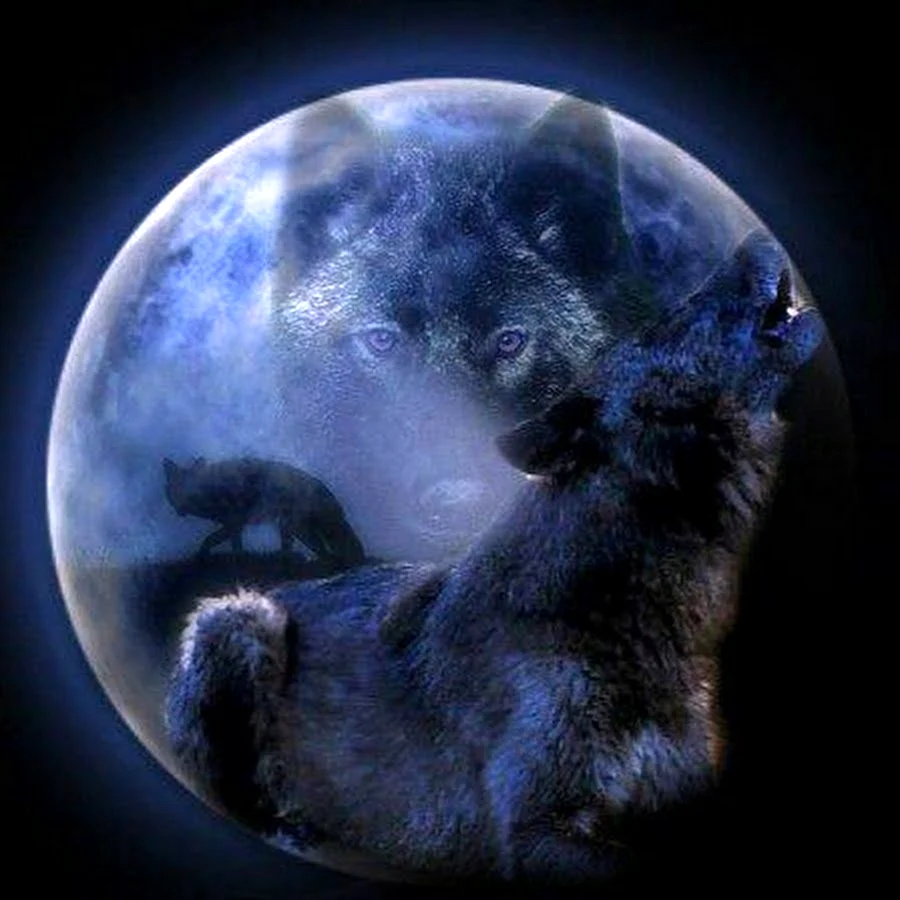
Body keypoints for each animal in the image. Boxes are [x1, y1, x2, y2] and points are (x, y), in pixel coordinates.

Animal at [162, 456, 365, 565]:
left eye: (189, 489)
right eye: (176, 488)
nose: (180, 508)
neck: (210, 490)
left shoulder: (234, 522)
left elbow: (208, 541)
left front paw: (201, 559)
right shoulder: (235, 526)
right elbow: (236, 548)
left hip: (297, 529)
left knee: (327, 556)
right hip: (288, 529)